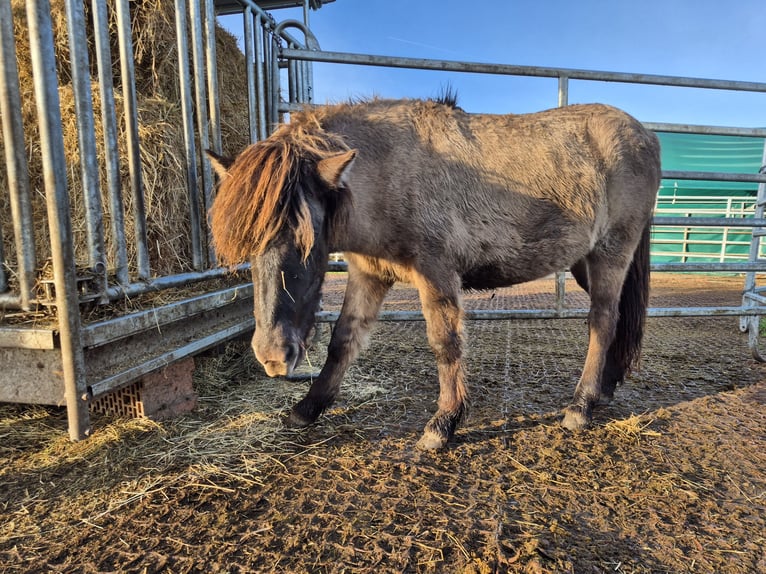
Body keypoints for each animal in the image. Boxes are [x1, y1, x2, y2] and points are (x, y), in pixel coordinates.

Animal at [207, 97, 661, 450]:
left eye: (306, 241)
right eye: (246, 248)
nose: (273, 356)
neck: (387, 170)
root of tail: (646, 135)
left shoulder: (437, 272)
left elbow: (446, 343)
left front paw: (443, 424)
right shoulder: (368, 275)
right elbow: (343, 340)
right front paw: (307, 409)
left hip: (610, 254)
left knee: (603, 320)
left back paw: (581, 405)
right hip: (585, 262)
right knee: (618, 318)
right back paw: (605, 389)